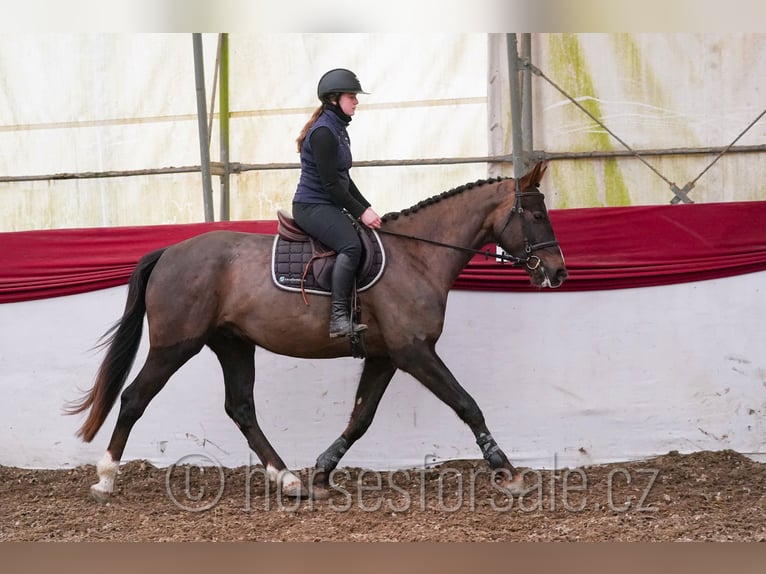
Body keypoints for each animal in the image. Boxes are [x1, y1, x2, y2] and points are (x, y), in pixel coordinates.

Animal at [66, 161, 567, 502]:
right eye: (536, 216)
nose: (558, 273)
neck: (418, 256)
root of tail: (168, 251)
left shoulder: (385, 356)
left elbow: (360, 418)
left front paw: (323, 473)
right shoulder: (413, 352)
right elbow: (468, 405)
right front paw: (509, 472)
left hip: (232, 344)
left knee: (241, 408)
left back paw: (288, 478)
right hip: (175, 345)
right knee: (135, 398)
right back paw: (105, 478)